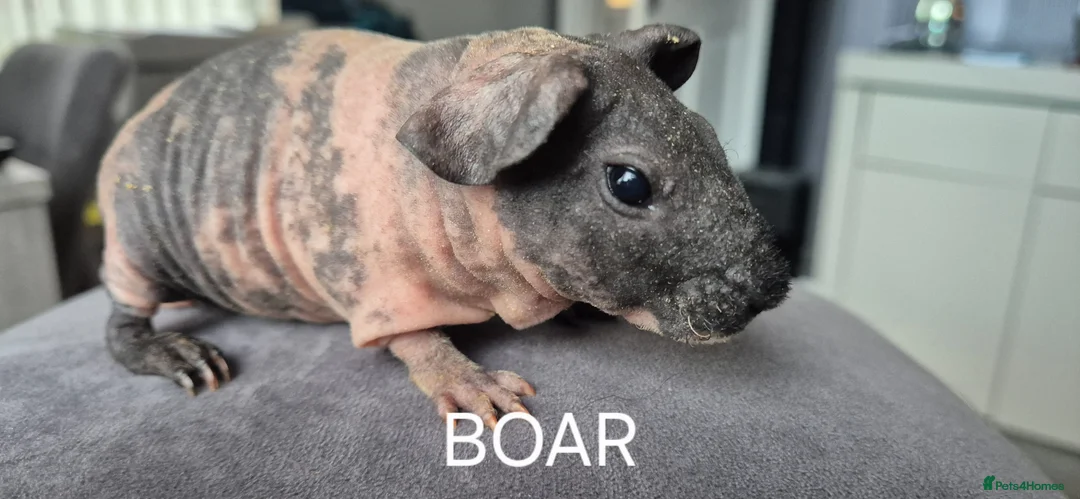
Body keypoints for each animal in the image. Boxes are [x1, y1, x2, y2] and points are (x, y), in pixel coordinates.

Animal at [97, 24, 791, 429]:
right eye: (629, 184)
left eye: (711, 139)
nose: (772, 286)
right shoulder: (372, 277)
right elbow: (414, 339)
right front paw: (471, 381)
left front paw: (574, 312)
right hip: (137, 247)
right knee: (121, 321)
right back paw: (174, 350)